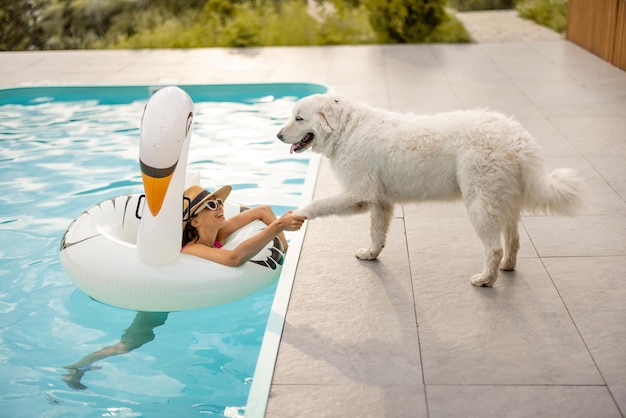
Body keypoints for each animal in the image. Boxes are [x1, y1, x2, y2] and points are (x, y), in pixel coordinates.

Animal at [276, 93, 584, 286]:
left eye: (299, 118)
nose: (278, 135)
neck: (347, 129)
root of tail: (517, 136)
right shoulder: (381, 202)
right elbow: (377, 233)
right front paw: (372, 253)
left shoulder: (358, 195)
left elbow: (317, 205)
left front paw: (294, 216)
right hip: (502, 202)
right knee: (514, 239)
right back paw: (507, 266)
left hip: (480, 205)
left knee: (493, 247)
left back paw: (486, 279)